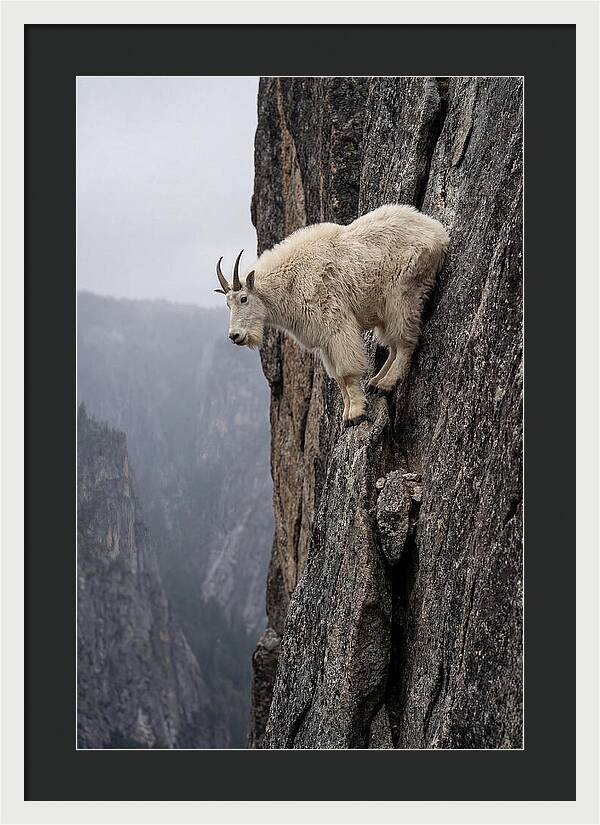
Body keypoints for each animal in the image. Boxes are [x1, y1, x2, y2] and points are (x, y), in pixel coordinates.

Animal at [214, 204, 449, 425]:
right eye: (227, 304)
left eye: (243, 299)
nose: (235, 336)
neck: (290, 282)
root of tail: (438, 232)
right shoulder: (324, 340)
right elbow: (337, 378)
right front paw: (347, 413)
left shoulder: (336, 324)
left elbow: (346, 372)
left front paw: (356, 413)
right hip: (385, 309)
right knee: (393, 344)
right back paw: (375, 382)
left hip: (403, 293)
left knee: (405, 341)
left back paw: (385, 384)